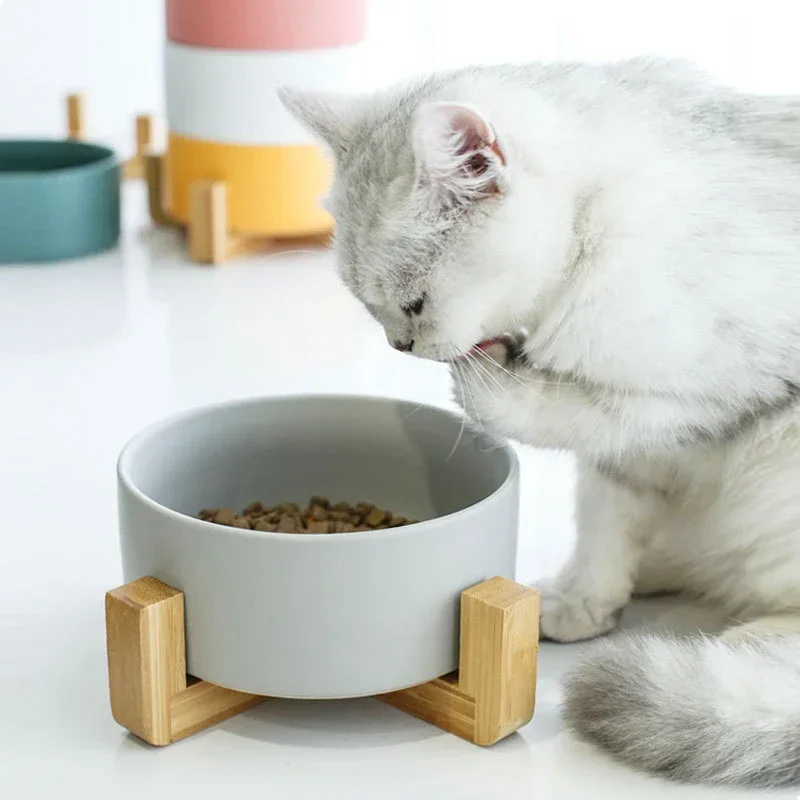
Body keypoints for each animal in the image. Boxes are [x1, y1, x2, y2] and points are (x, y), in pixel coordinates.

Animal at [278, 57, 800, 788]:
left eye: (413, 304)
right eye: (368, 306)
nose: (398, 347)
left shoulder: (694, 398)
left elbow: (551, 413)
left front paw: (486, 378)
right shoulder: (629, 449)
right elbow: (606, 519)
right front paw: (585, 602)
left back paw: (748, 634)